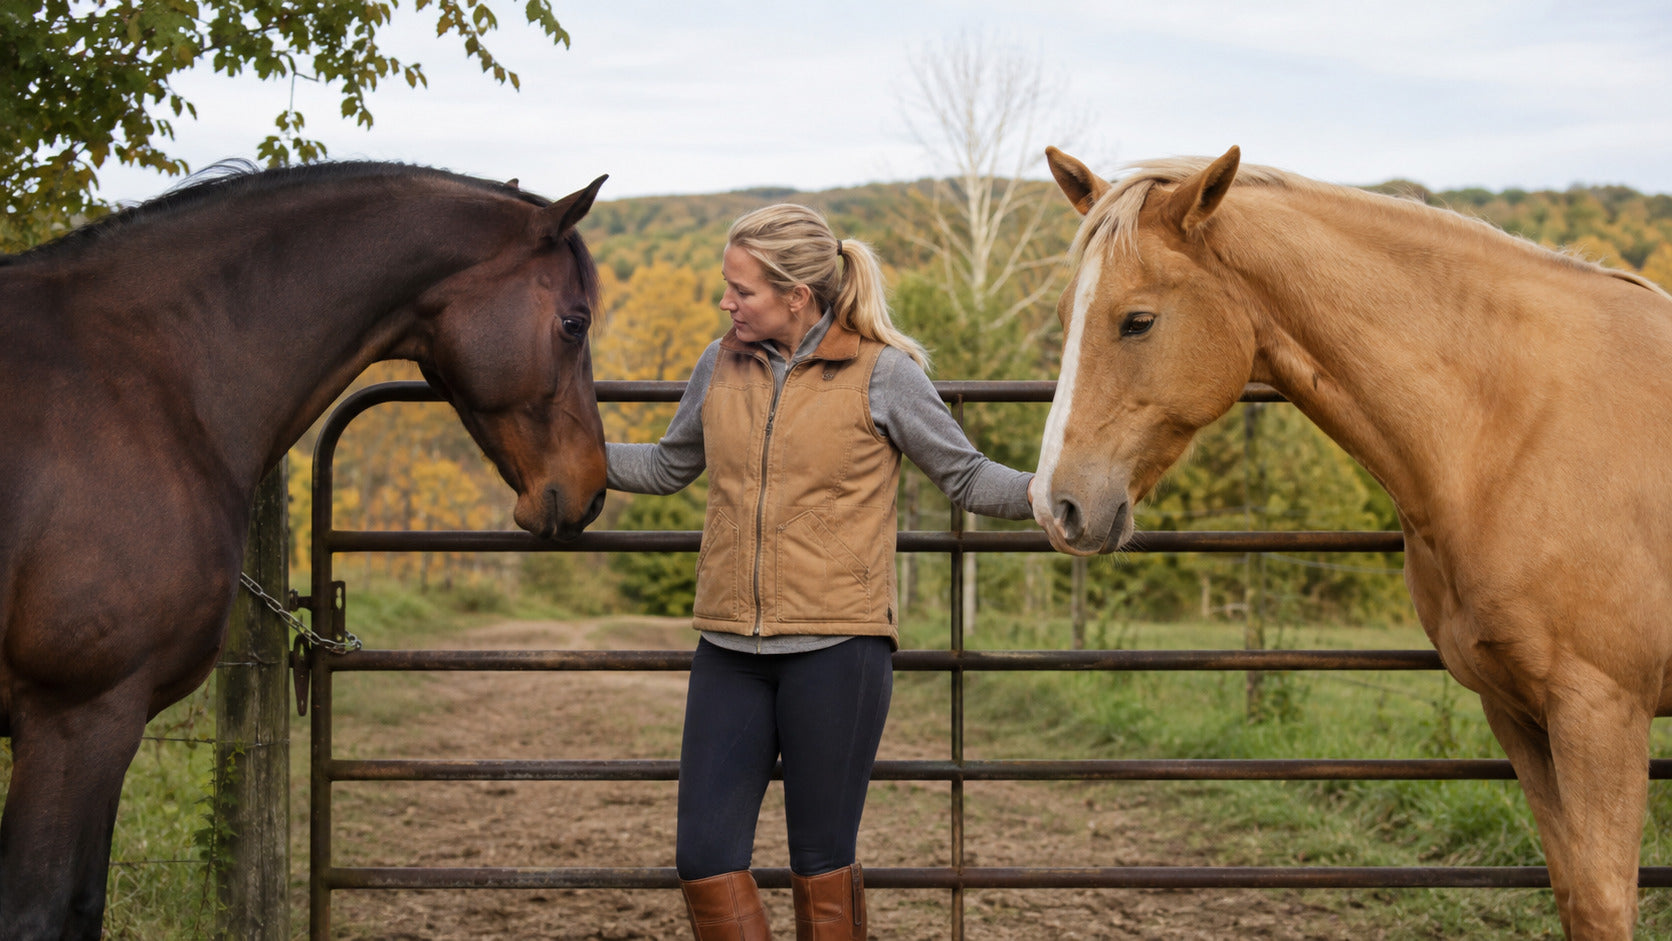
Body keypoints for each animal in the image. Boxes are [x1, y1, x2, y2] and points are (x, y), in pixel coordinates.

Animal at [1029, 145, 1672, 940]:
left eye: (1137, 321)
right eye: (1066, 315)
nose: (1055, 504)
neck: (1518, 426)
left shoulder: (1600, 712)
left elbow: (1606, 899)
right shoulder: (1520, 712)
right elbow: (1574, 892)